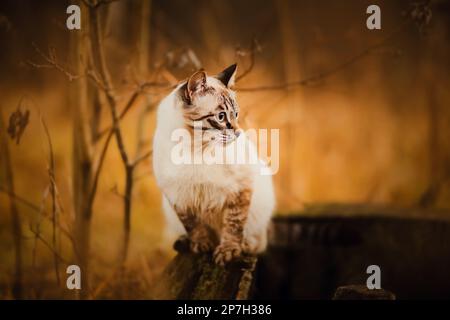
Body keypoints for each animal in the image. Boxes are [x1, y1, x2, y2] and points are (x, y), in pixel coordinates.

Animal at [153, 63, 276, 264]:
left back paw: (245, 246)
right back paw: (184, 242)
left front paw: (228, 251)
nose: (238, 132)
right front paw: (202, 246)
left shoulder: (240, 189)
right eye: (220, 117)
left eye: (236, 114)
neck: (196, 149)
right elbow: (193, 225)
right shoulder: (179, 198)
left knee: (258, 241)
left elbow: (233, 225)